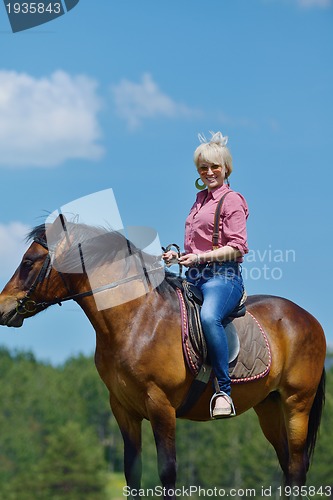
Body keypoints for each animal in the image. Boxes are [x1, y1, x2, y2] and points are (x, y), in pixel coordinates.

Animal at [0, 217, 324, 498]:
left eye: (29, 262)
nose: (2, 308)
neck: (136, 319)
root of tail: (308, 319)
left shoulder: (161, 405)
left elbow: (167, 472)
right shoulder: (123, 408)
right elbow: (132, 473)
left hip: (297, 403)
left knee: (296, 468)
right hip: (268, 405)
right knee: (286, 465)